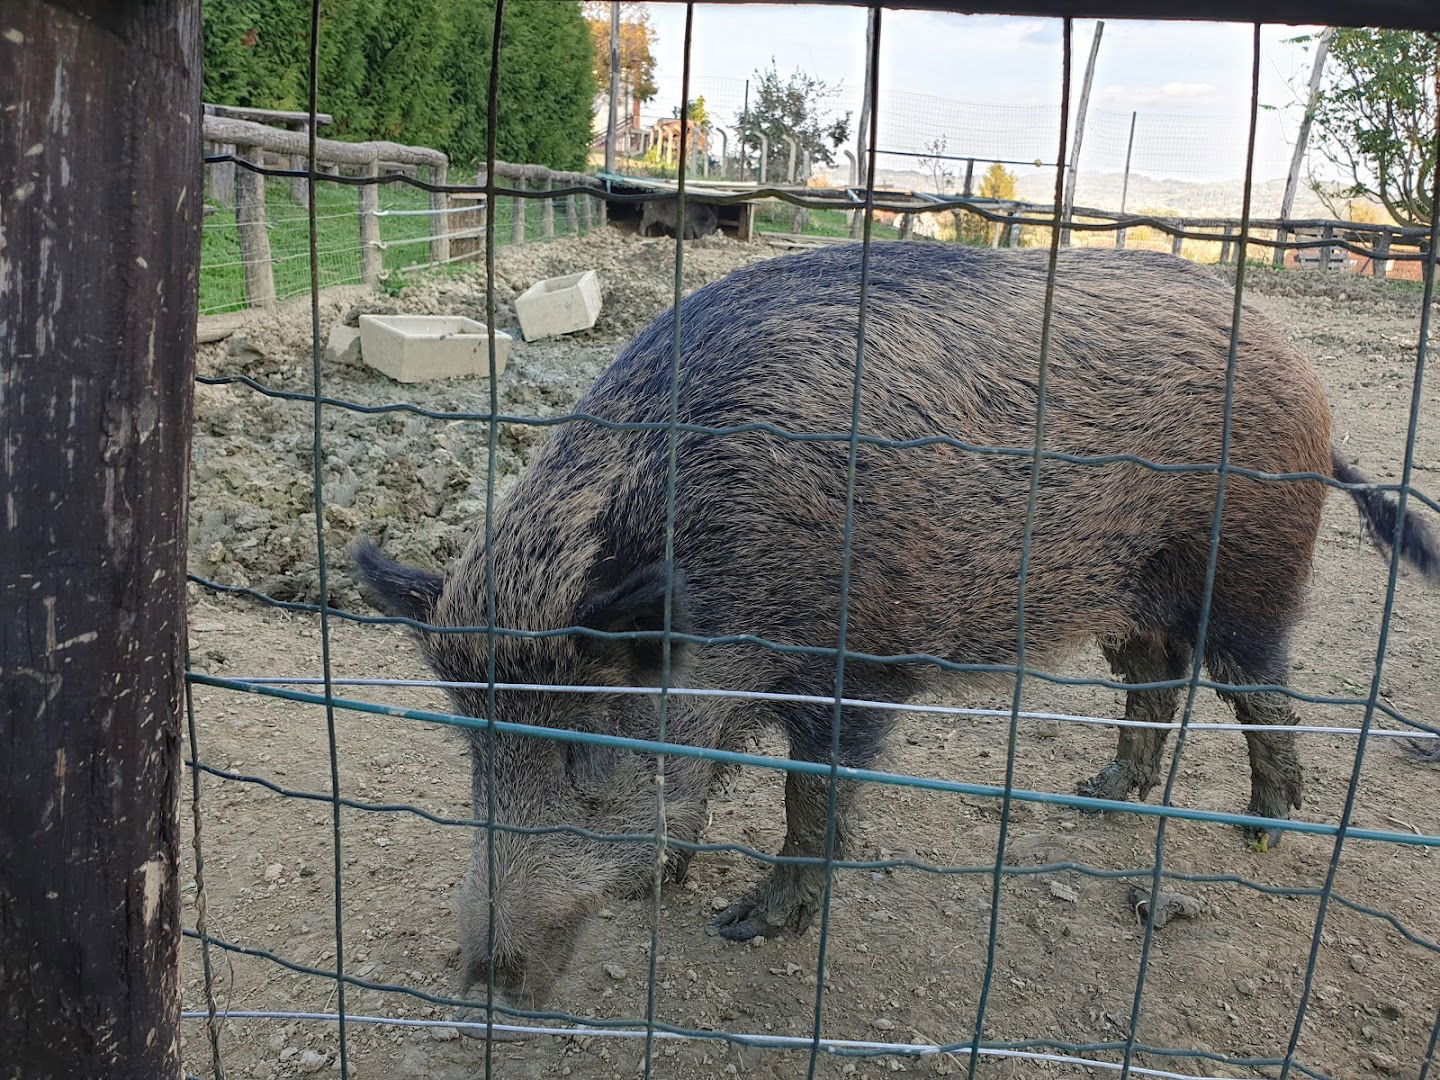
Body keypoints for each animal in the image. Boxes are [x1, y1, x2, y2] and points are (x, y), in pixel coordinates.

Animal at [351, 244, 1440, 1025]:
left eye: (586, 750)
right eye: (471, 750)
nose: (484, 978)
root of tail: (1301, 366)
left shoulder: (861, 667)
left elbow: (812, 794)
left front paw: (746, 926)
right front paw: (671, 880)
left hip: (1247, 566)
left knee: (1259, 688)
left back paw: (1261, 829)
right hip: (1129, 594)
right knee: (1156, 679)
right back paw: (1100, 796)